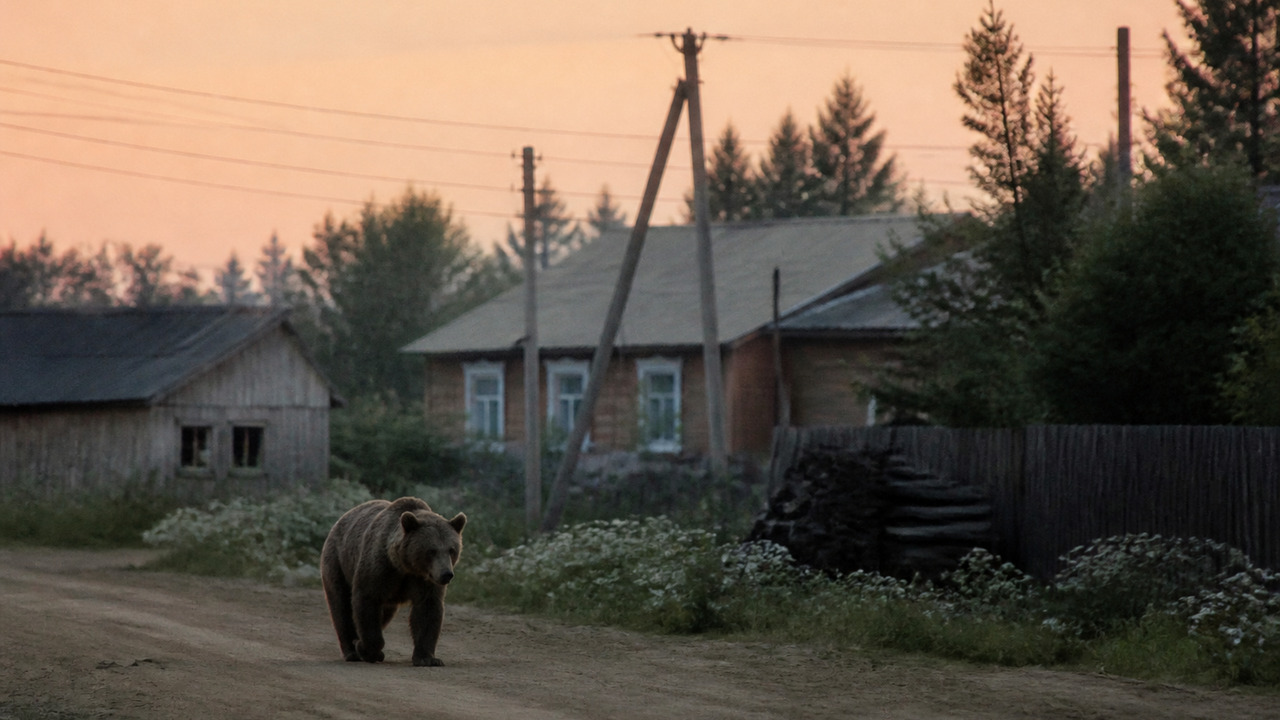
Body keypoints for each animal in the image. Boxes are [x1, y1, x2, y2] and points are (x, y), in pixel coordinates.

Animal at [320, 497, 466, 667]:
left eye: (452, 550)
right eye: (431, 550)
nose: (446, 574)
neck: (404, 566)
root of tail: (340, 520)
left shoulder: (424, 581)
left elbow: (427, 610)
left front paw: (427, 658)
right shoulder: (379, 569)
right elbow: (367, 600)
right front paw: (368, 650)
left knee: (385, 613)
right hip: (338, 562)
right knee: (341, 606)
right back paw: (351, 650)